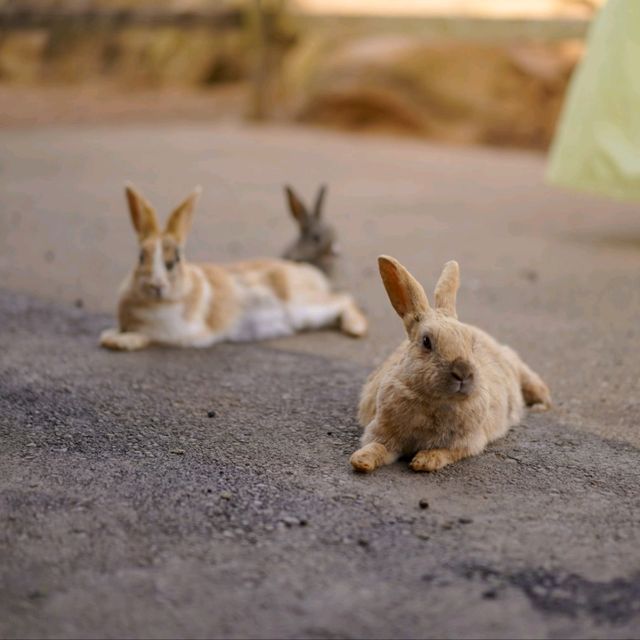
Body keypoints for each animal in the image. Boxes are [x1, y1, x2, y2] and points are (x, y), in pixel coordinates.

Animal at [100, 185, 370, 352]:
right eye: (140, 257)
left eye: (176, 259)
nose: (156, 286)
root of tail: (308, 271)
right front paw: (110, 336)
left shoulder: (176, 333)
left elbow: (150, 336)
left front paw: (121, 342)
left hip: (305, 307)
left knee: (344, 299)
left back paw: (355, 329)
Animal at [350, 256, 552, 476]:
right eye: (426, 342)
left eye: (472, 343)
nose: (463, 372)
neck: (436, 401)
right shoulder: (383, 432)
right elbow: (377, 447)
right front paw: (361, 461)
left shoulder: (467, 442)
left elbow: (446, 452)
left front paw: (424, 461)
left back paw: (542, 404)